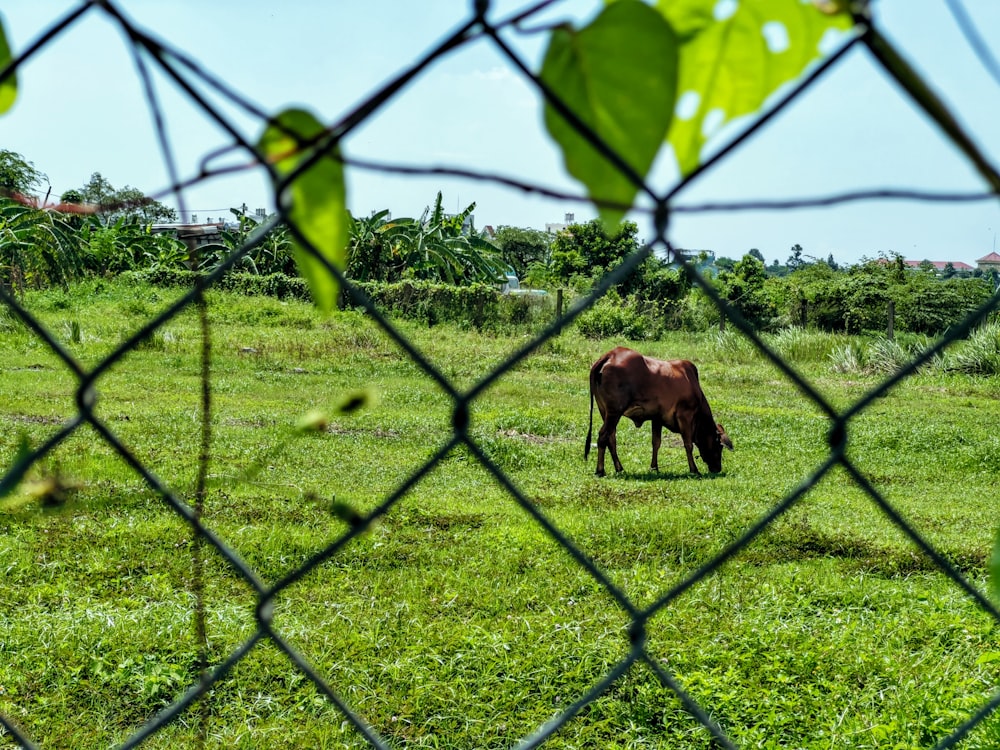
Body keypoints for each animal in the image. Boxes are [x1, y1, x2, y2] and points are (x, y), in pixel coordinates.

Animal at [584, 346, 732, 476]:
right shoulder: (685, 415)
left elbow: (656, 443)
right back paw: (600, 470)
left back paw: (619, 468)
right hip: (615, 412)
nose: (717, 468)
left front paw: (654, 467)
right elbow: (688, 444)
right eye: (719, 446)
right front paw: (694, 470)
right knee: (603, 436)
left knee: (611, 438)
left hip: (605, 411)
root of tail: (610, 355)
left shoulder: (657, 418)